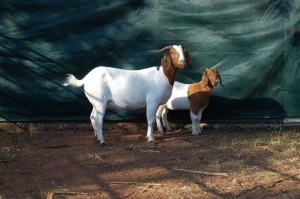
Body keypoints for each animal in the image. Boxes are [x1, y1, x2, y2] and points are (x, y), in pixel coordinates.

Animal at [64, 44, 193, 145]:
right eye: (172, 52)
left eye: (183, 52)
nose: (182, 62)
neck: (162, 75)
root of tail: (85, 78)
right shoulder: (152, 101)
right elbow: (150, 120)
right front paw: (151, 138)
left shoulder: (158, 103)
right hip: (100, 101)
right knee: (99, 119)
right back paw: (102, 141)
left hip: (95, 102)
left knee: (92, 117)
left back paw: (96, 136)